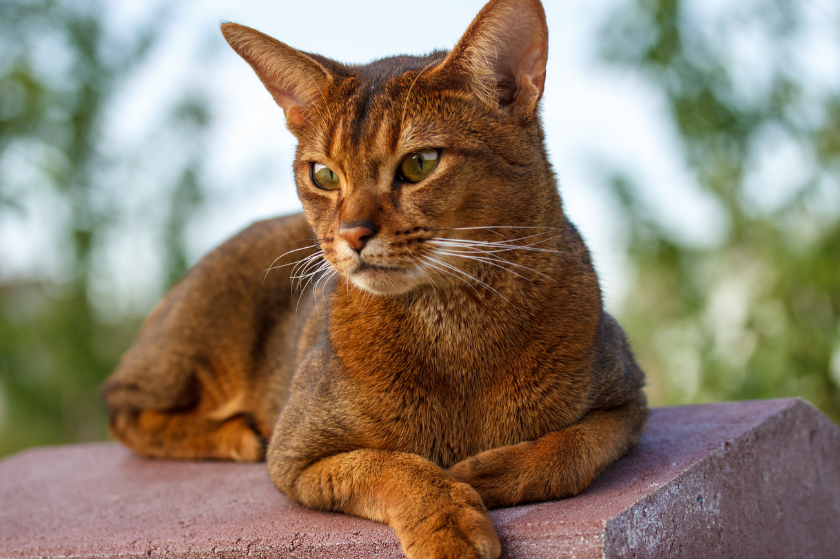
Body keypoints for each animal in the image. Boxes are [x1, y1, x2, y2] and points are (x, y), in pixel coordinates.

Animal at [100, 0, 648, 556]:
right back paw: (235, 434)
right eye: (323, 175)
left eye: (421, 163)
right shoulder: (297, 452)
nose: (351, 234)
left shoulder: (628, 400)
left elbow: (569, 450)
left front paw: (485, 472)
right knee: (120, 406)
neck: (454, 325)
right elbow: (391, 467)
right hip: (195, 345)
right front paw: (450, 525)